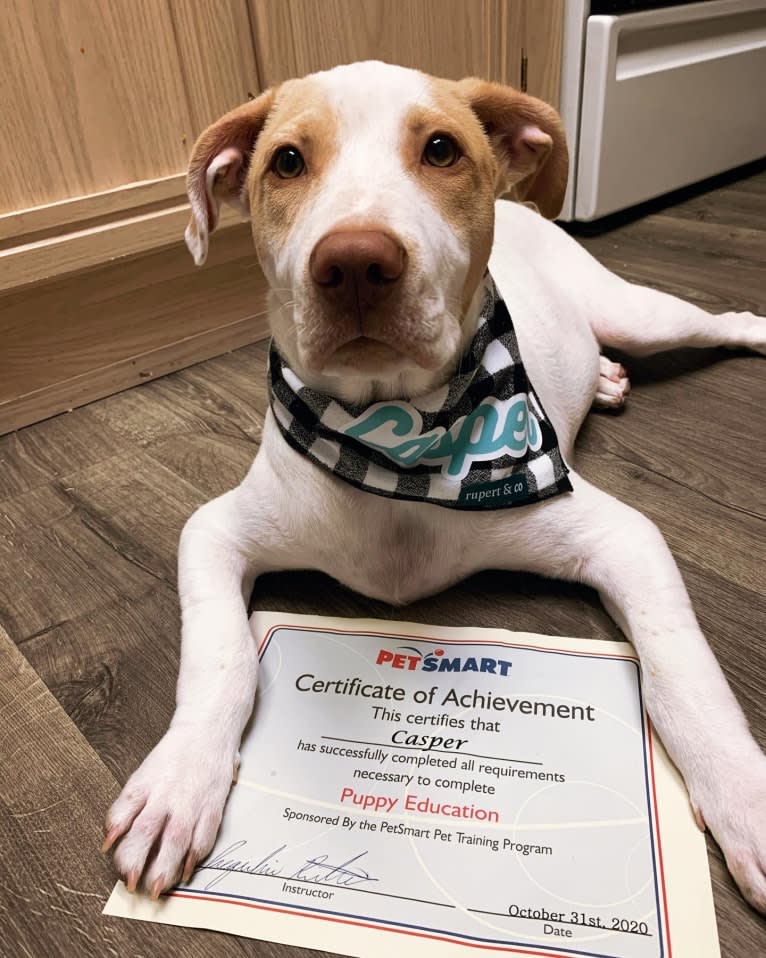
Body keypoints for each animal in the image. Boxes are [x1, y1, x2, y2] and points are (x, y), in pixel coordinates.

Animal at [103, 60, 766, 916]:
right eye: (286, 162)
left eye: (443, 149)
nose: (354, 263)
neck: (395, 440)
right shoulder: (215, 529)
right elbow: (222, 658)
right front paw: (178, 785)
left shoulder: (621, 537)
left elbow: (684, 672)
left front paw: (745, 796)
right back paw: (606, 378)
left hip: (643, 312)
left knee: (719, 321)